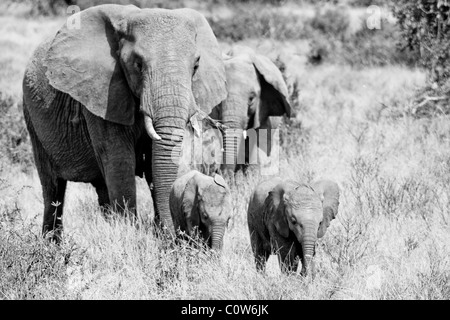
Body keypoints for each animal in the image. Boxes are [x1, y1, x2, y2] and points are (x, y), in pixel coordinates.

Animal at [22, 4, 227, 240]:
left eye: (196, 66)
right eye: (138, 64)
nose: (173, 236)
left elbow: (155, 163)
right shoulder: (104, 94)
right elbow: (119, 160)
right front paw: (132, 234)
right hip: (31, 117)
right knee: (53, 187)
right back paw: (50, 243)